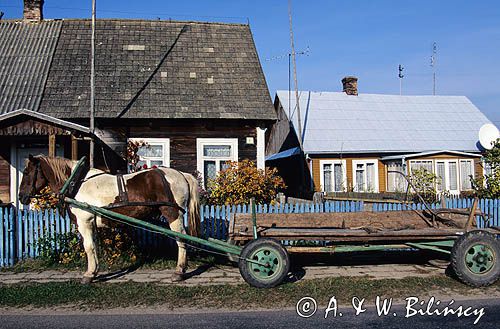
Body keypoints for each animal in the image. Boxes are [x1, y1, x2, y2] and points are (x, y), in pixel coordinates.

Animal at [17, 154, 201, 282]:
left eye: (26, 172)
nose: (21, 197)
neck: (76, 184)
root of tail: (182, 175)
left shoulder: (84, 222)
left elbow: (88, 247)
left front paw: (88, 275)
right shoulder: (91, 223)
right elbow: (94, 247)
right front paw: (95, 271)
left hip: (172, 214)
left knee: (181, 240)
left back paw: (179, 271)